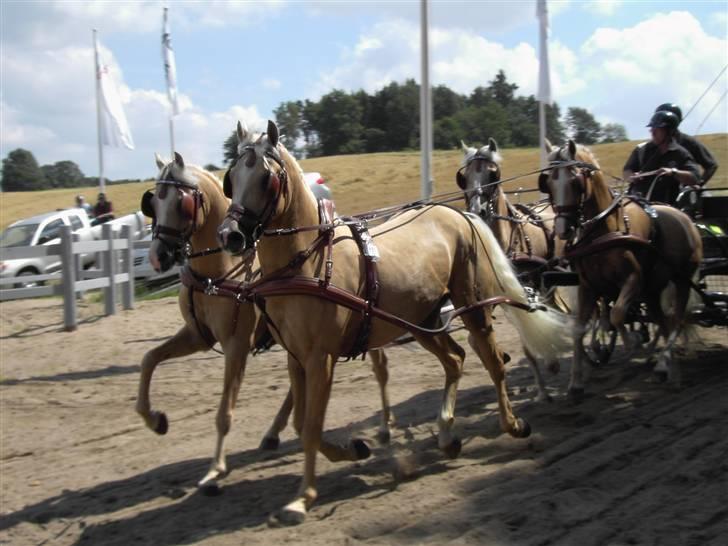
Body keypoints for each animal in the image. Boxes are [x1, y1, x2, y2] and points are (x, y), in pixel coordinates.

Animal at [458, 138, 567, 401]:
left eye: (493, 174)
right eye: (464, 177)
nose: (478, 210)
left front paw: (550, 365)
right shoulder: (496, 297)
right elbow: (474, 338)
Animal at [539, 139, 702, 396]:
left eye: (575, 181)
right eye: (549, 183)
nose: (564, 229)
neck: (603, 230)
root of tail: (684, 217)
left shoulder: (633, 279)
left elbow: (616, 314)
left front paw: (631, 341)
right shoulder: (588, 286)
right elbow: (579, 328)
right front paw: (575, 383)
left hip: (681, 280)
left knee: (675, 321)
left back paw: (664, 364)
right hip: (653, 290)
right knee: (664, 322)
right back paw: (670, 371)